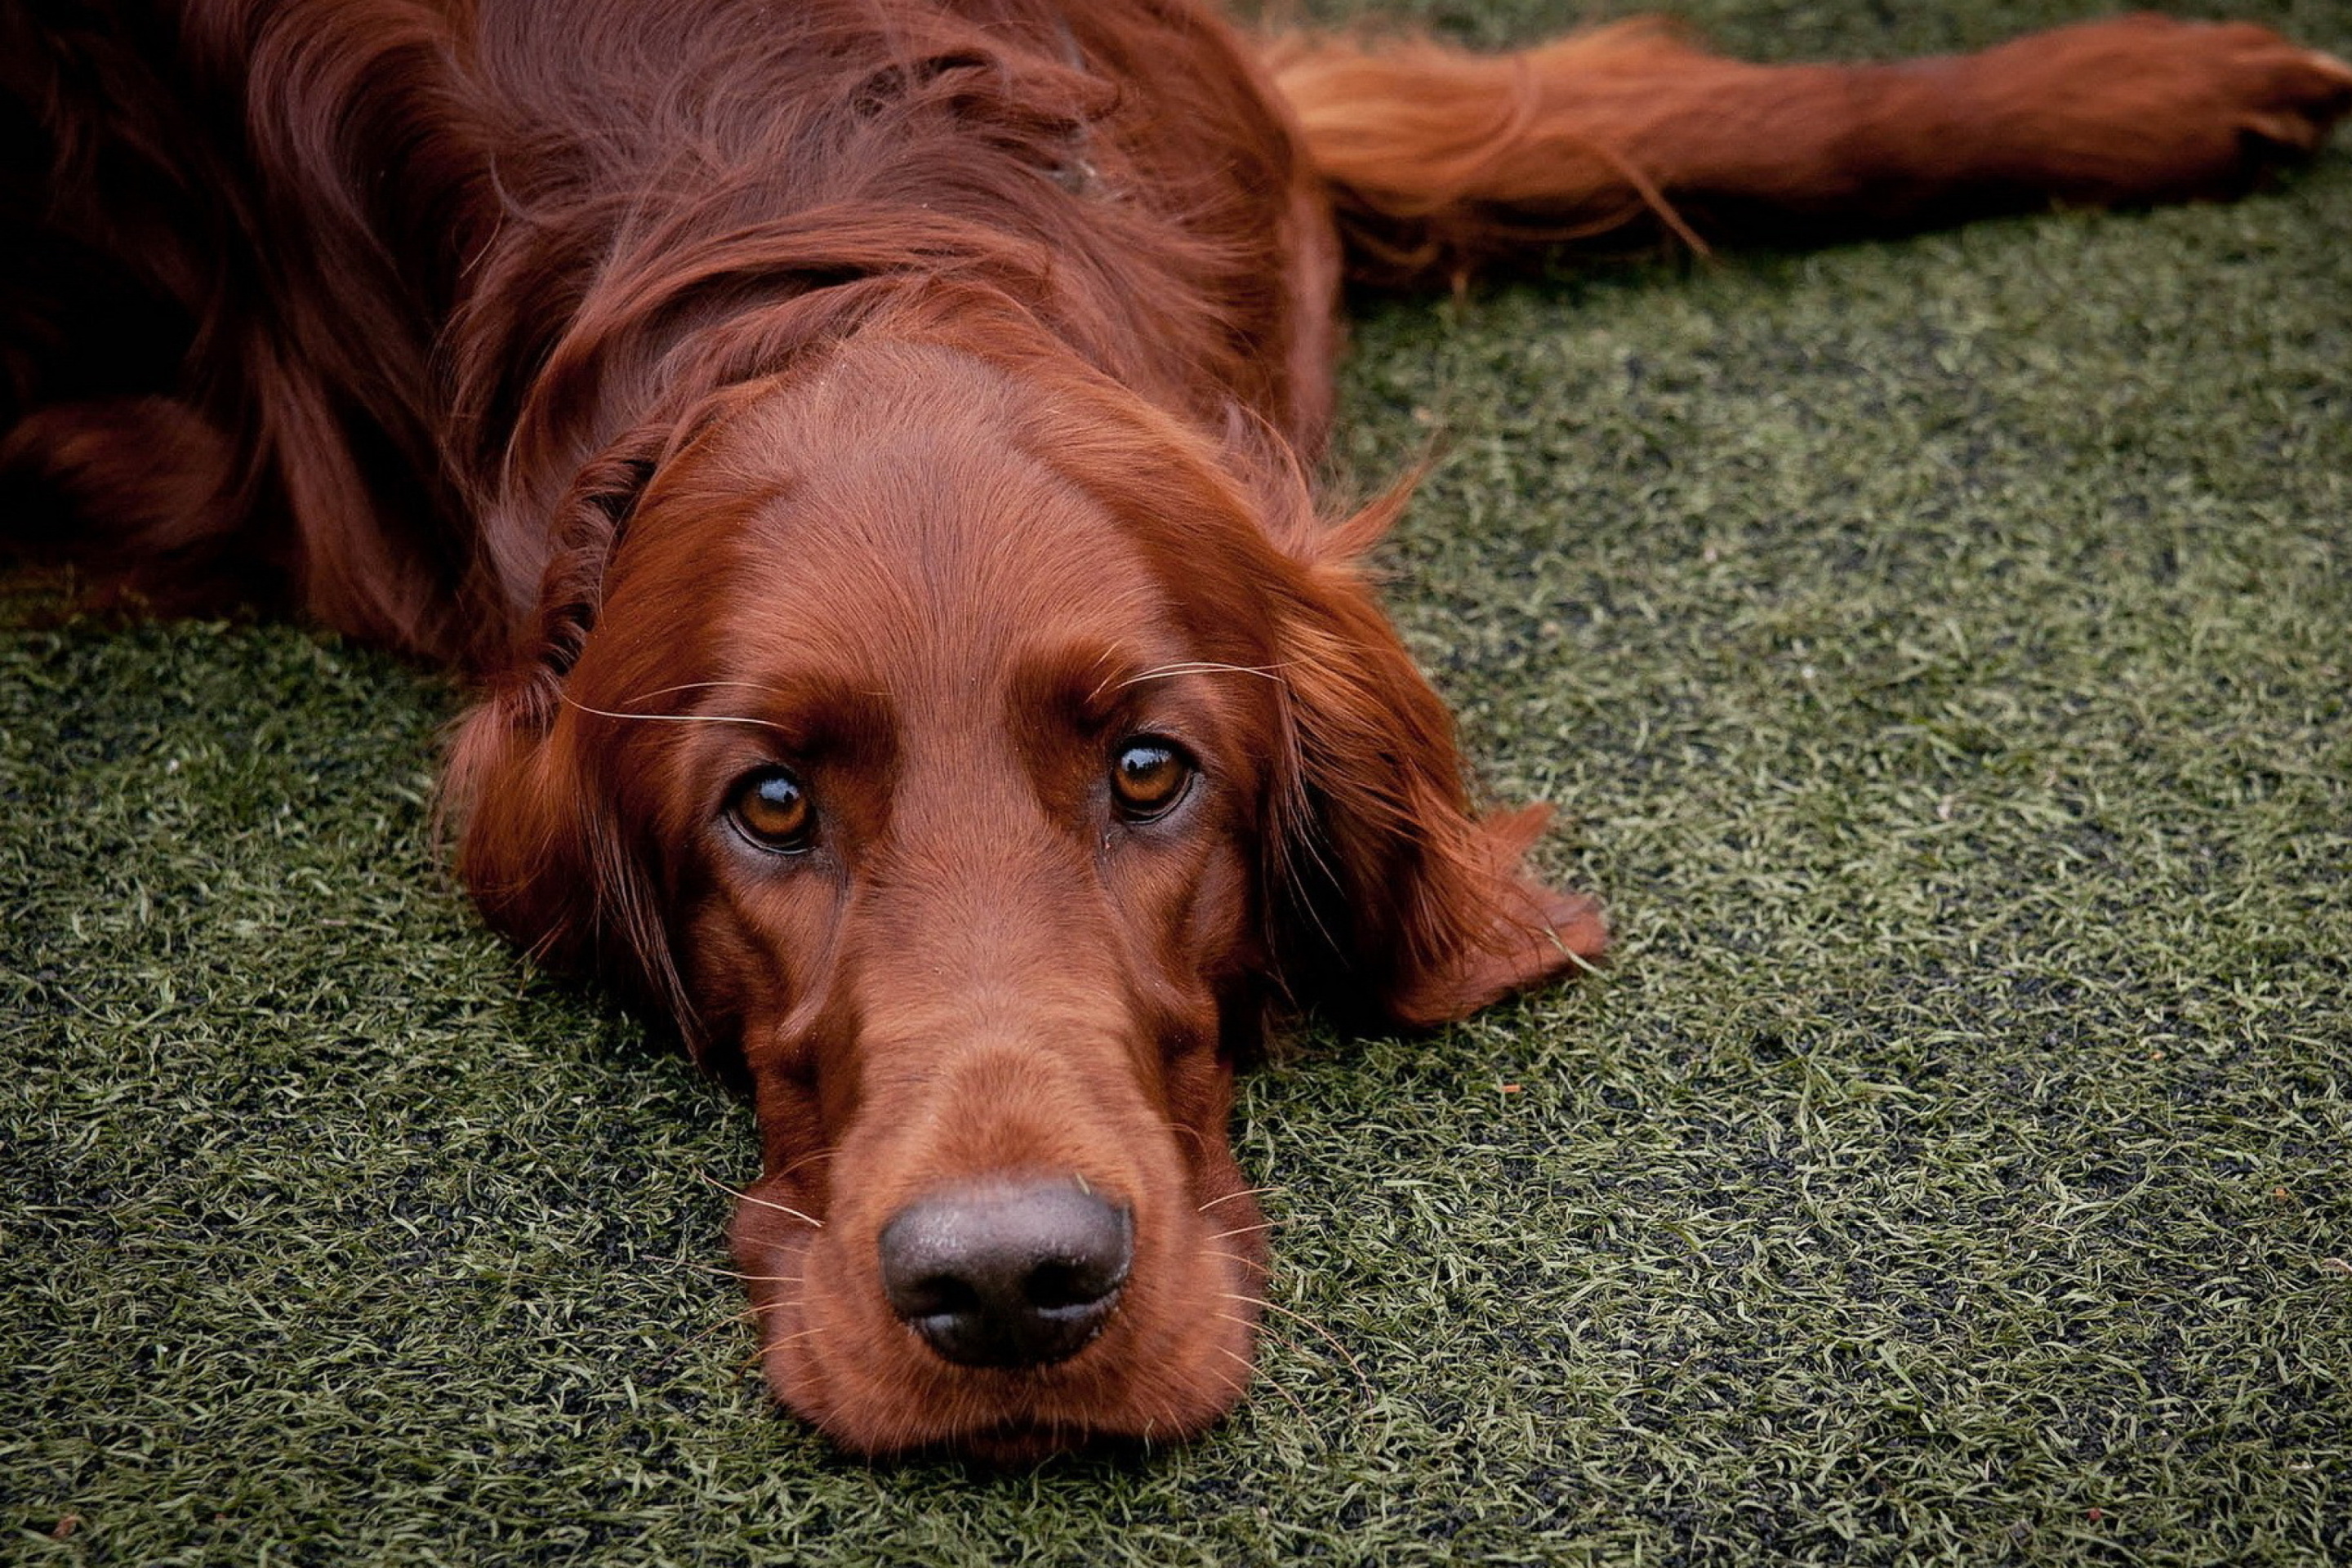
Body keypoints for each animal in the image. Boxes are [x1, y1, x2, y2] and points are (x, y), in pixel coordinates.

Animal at [4, 0, 2352, 1457]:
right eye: (766, 808)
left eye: (1151, 774)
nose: (1008, 1290)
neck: (837, 219)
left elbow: (1638, 113)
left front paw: (2158, 84)